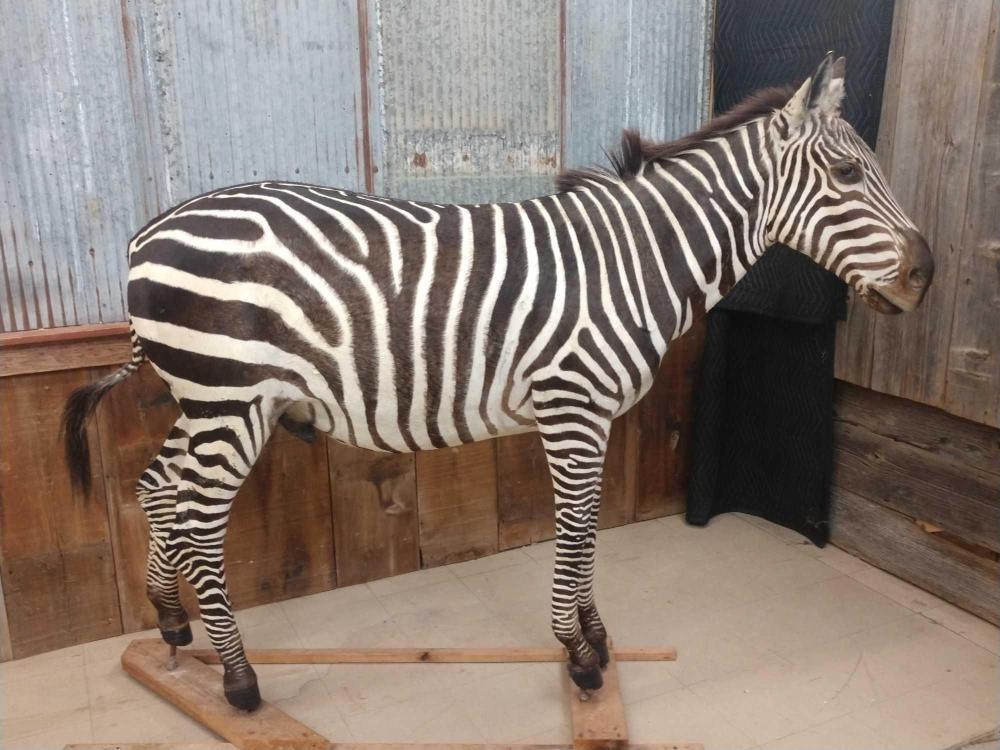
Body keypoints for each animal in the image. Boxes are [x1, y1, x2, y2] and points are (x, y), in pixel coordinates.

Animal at [63, 54, 933, 711]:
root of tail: (146, 232)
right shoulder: (572, 406)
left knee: (156, 490)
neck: (635, 261)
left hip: (209, 400)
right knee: (199, 519)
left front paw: (596, 637)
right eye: (847, 171)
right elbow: (575, 532)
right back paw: (240, 681)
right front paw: (578, 655)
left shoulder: (593, 418)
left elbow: (586, 533)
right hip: (231, 400)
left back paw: (172, 628)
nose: (926, 274)